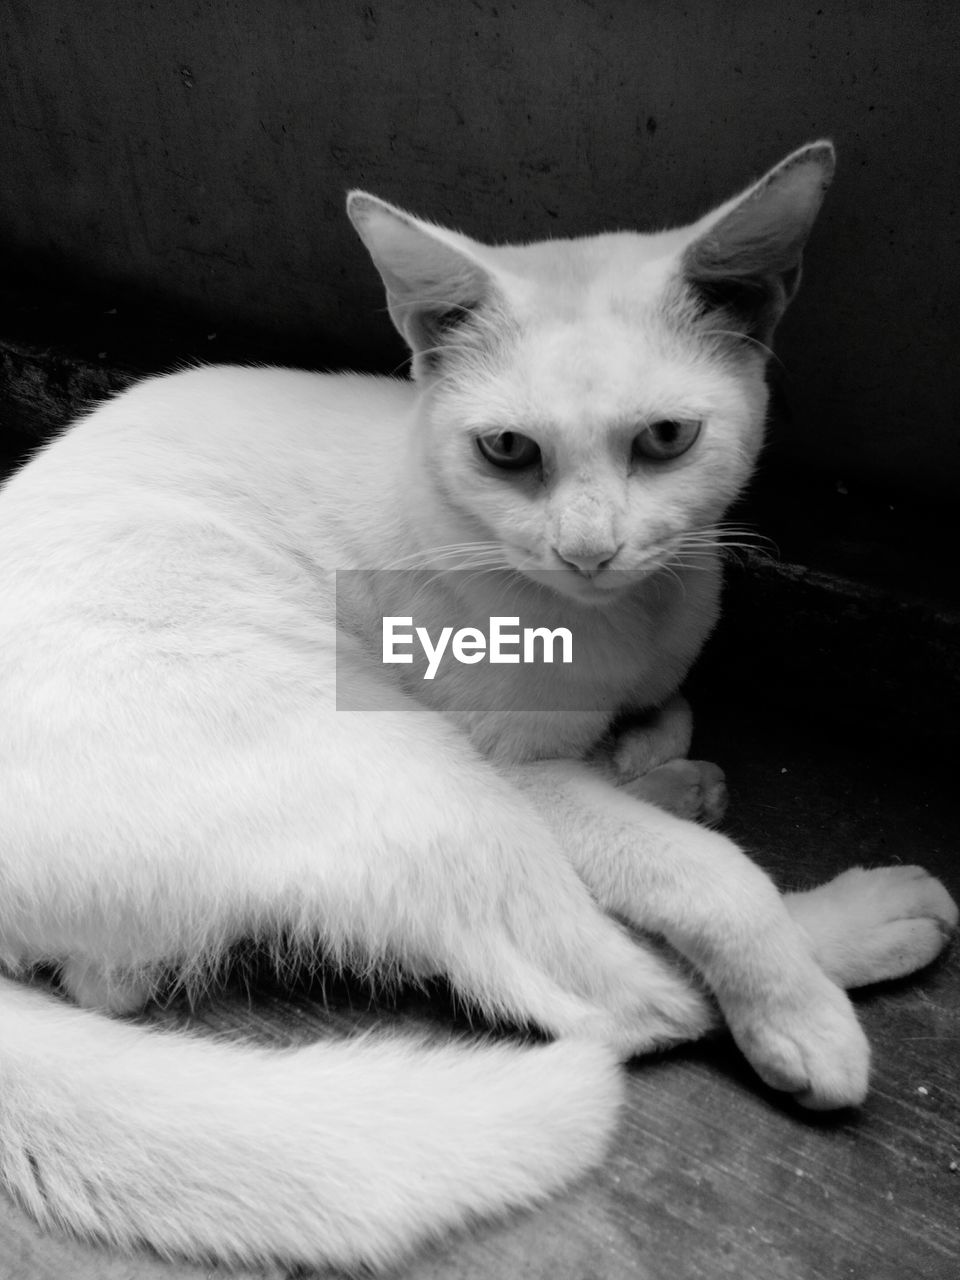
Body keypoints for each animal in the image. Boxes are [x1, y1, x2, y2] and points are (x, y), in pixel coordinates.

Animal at [0, 142, 957, 1269]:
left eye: (666, 439)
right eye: (507, 451)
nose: (588, 550)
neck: (627, 616)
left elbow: (650, 744)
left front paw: (652, 745)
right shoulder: (511, 763)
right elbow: (702, 879)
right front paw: (789, 1000)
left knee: (122, 976)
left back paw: (675, 783)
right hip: (406, 765)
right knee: (617, 996)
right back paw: (855, 933)